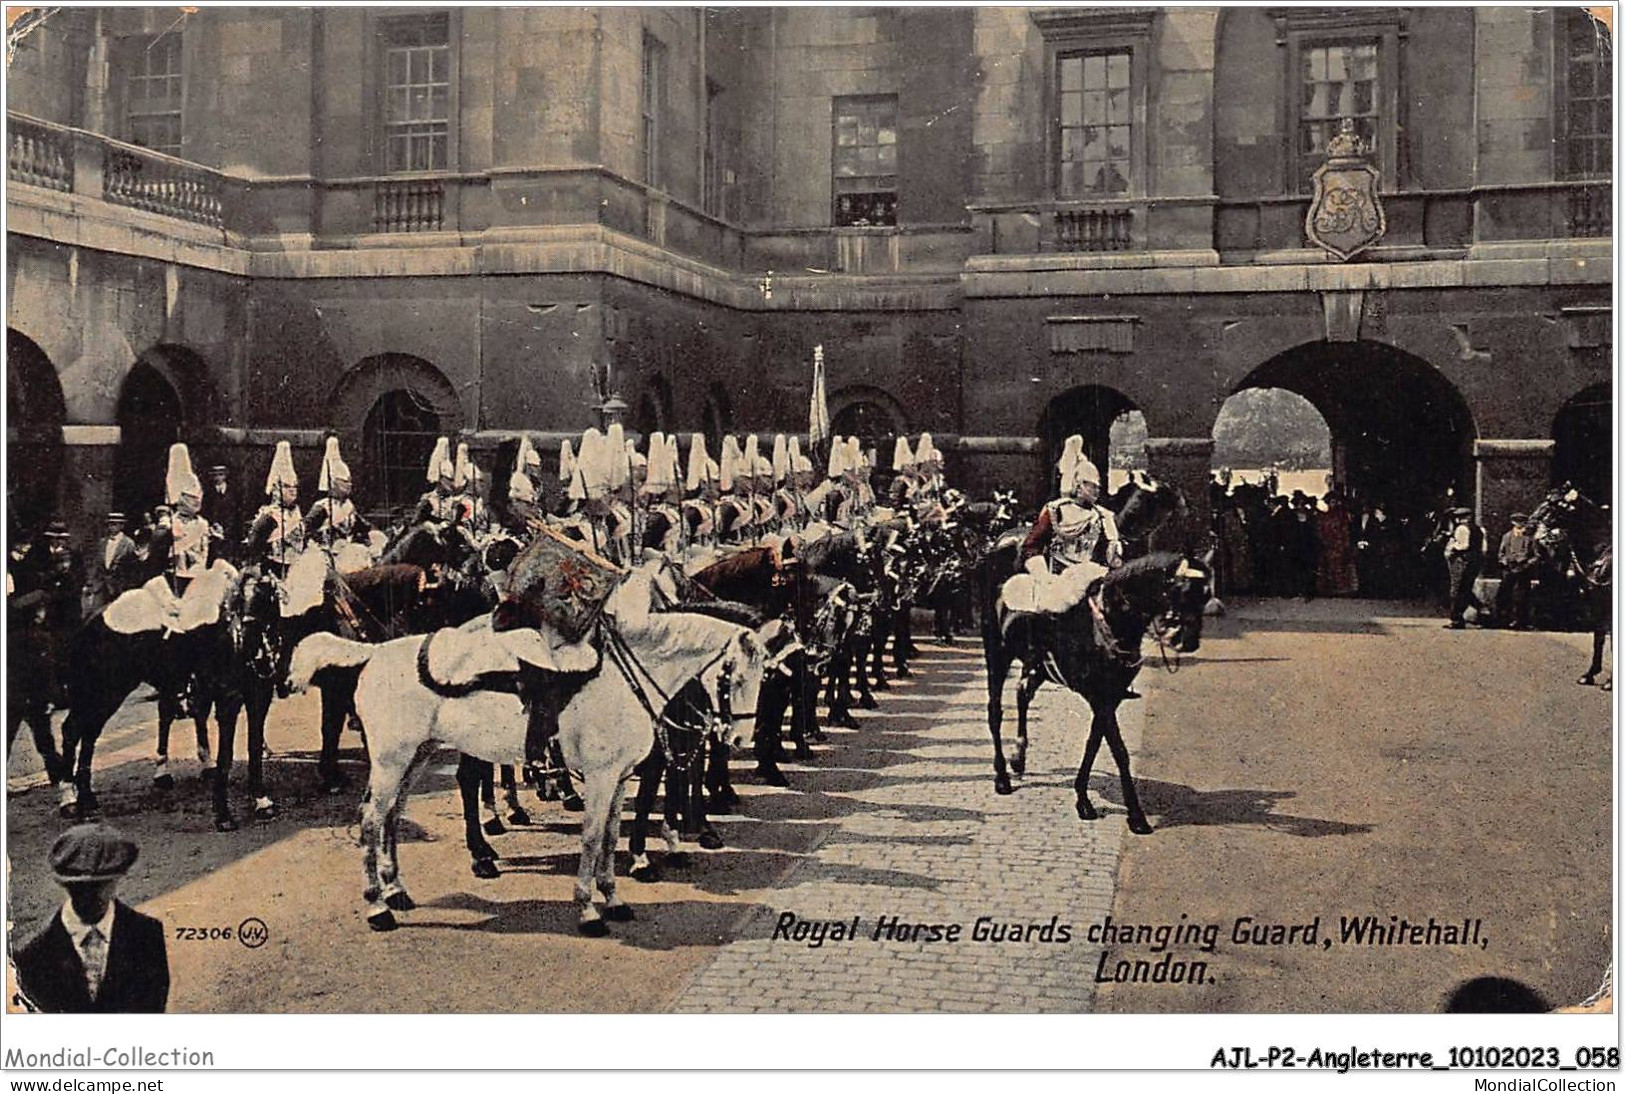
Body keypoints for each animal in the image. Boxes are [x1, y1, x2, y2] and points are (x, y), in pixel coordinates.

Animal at [295, 568, 796, 936]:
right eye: (732, 676)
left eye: (763, 676)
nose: (738, 739)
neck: (626, 677)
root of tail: (374, 654)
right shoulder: (600, 776)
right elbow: (592, 838)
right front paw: (588, 911)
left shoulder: (618, 778)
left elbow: (611, 836)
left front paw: (613, 899)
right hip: (390, 760)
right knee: (371, 819)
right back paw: (378, 907)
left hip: (415, 757)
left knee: (392, 817)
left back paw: (397, 889)